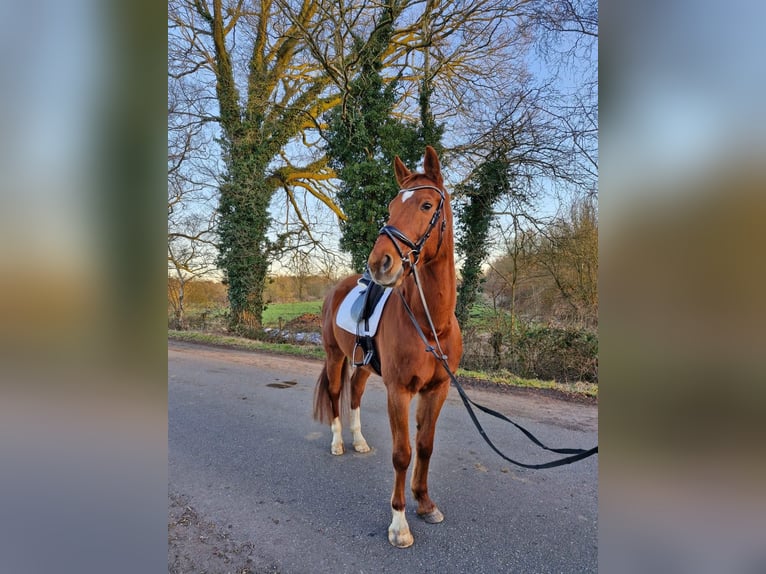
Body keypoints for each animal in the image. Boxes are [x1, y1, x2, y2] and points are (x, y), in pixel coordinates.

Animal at [314, 147, 462, 548]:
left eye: (426, 205)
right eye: (392, 206)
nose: (380, 263)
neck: (430, 324)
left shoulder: (437, 389)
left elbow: (424, 447)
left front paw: (425, 504)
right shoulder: (399, 391)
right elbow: (402, 453)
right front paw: (399, 523)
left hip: (363, 366)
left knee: (354, 395)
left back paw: (359, 441)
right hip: (335, 357)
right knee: (336, 393)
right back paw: (338, 443)